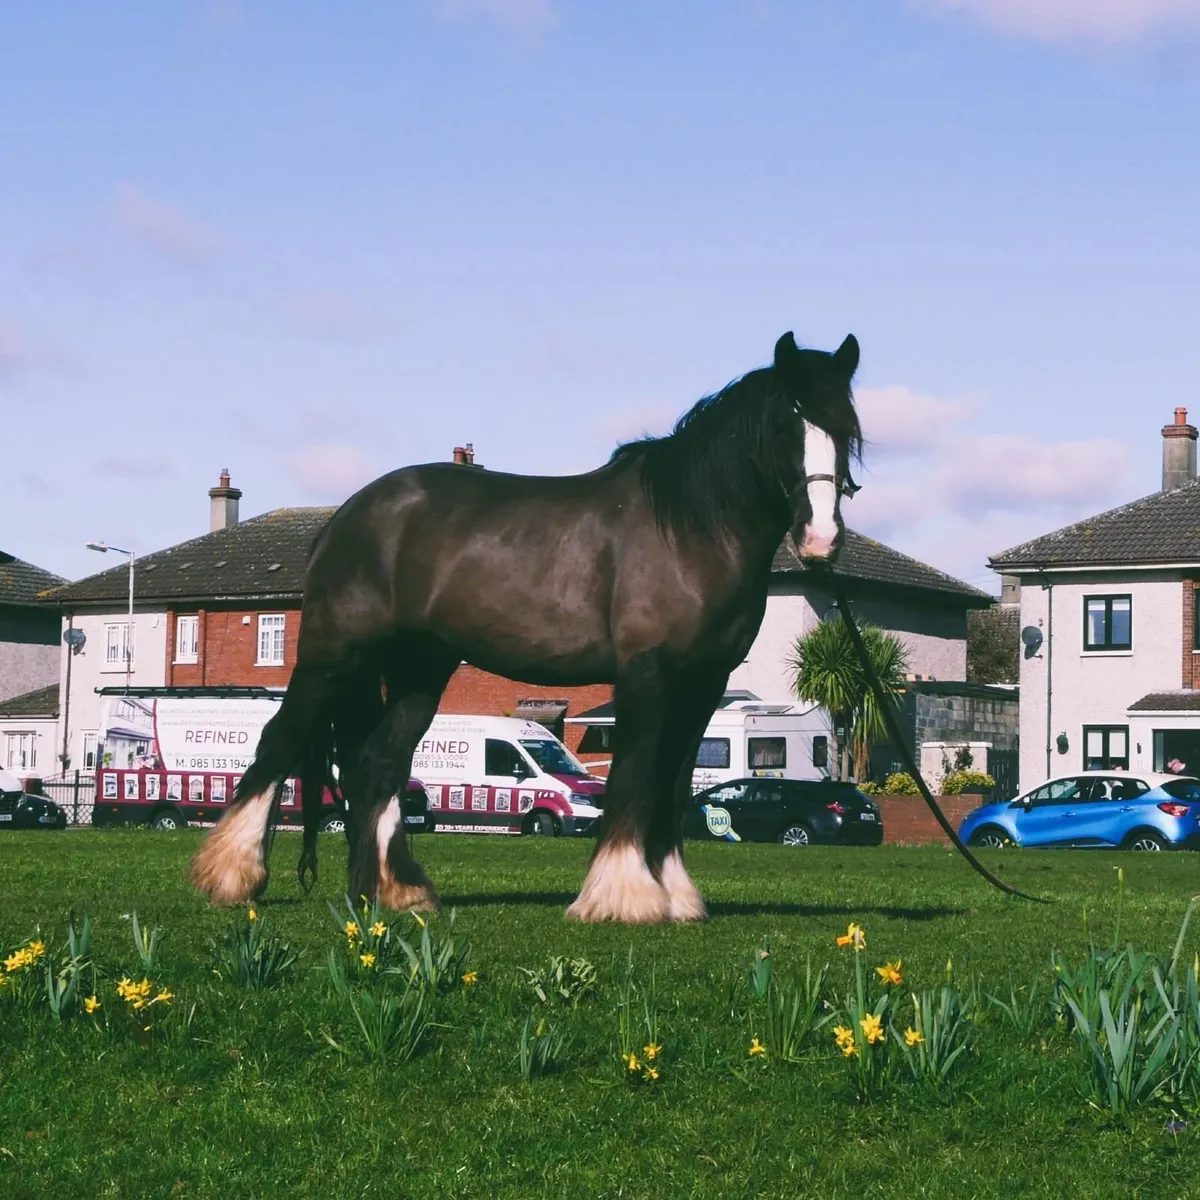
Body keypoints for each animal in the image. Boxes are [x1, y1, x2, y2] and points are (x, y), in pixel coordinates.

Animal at [190, 331, 864, 923]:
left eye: (847, 431)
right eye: (786, 425)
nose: (820, 541)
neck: (688, 529)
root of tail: (345, 518)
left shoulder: (704, 684)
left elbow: (673, 785)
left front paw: (676, 897)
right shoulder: (647, 675)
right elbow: (635, 776)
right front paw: (621, 897)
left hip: (417, 671)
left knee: (379, 763)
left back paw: (400, 891)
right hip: (332, 658)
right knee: (280, 741)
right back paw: (231, 877)